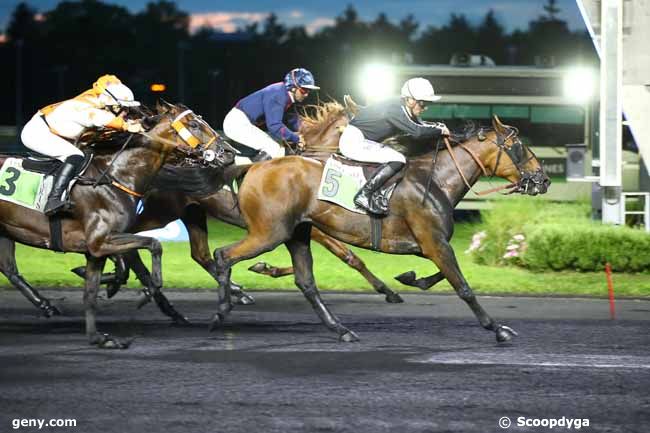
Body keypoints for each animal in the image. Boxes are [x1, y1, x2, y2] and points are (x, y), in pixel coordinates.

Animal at [0, 99, 233, 346]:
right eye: (193, 124)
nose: (229, 152)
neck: (116, 176)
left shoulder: (96, 250)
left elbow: (91, 293)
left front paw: (98, 337)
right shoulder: (101, 241)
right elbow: (154, 245)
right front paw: (145, 292)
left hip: (7, 231)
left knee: (9, 268)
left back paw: (46, 304)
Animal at [210, 114, 548, 340]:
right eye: (518, 147)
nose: (542, 179)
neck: (437, 180)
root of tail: (252, 167)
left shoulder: (429, 244)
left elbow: (441, 276)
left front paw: (410, 278)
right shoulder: (433, 242)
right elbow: (462, 286)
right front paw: (497, 328)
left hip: (296, 234)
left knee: (306, 282)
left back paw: (341, 329)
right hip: (269, 233)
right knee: (222, 255)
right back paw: (221, 311)